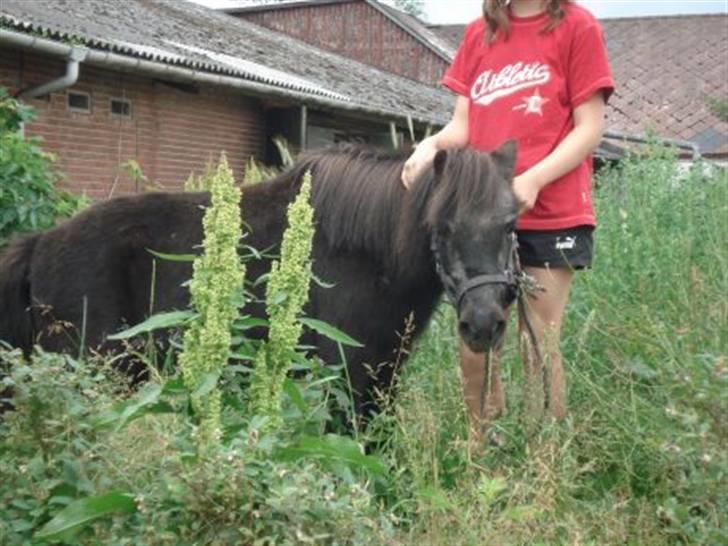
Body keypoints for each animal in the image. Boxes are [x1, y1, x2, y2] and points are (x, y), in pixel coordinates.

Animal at [2, 143, 520, 416]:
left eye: (510, 223)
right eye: (442, 227)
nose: (483, 324)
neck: (365, 253)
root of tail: (40, 244)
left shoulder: (379, 381)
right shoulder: (342, 381)